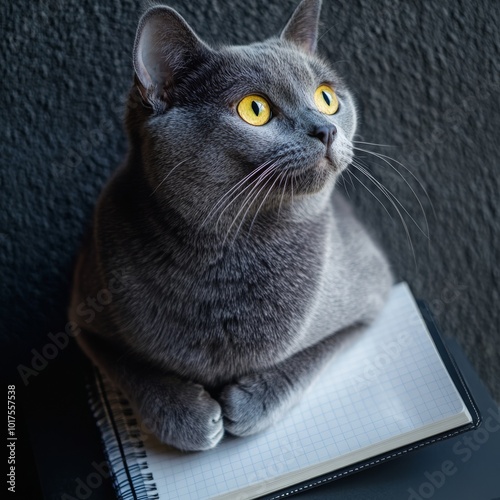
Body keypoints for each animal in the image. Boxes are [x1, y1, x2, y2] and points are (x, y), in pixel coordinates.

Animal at [68, 0, 392, 454]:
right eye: (254, 109)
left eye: (327, 98)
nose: (326, 128)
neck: (233, 248)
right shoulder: (83, 317)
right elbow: (130, 368)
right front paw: (187, 415)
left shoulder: (373, 290)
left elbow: (320, 350)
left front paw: (250, 400)